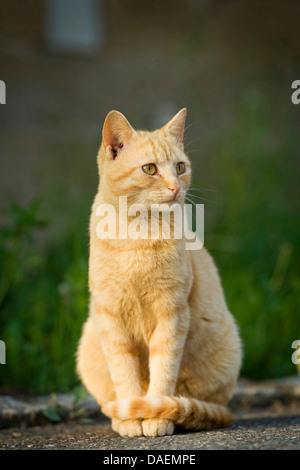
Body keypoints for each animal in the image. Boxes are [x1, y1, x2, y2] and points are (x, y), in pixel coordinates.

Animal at [77, 107, 241, 436]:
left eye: (180, 167)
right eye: (150, 169)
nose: (176, 187)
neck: (139, 233)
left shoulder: (172, 315)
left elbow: (163, 374)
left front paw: (156, 416)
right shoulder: (110, 318)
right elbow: (124, 374)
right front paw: (131, 418)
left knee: (194, 401)